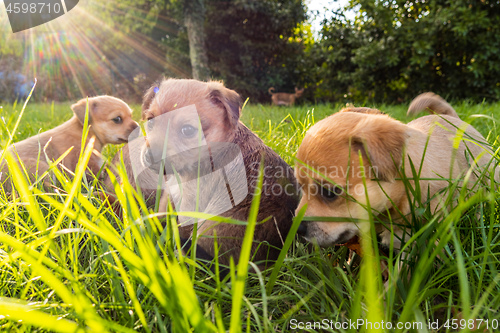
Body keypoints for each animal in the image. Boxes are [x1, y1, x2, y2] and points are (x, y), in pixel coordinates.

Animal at [1, 95, 140, 187]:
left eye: (131, 116)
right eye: (117, 119)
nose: (139, 128)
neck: (86, 133)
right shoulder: (88, 166)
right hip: (42, 169)